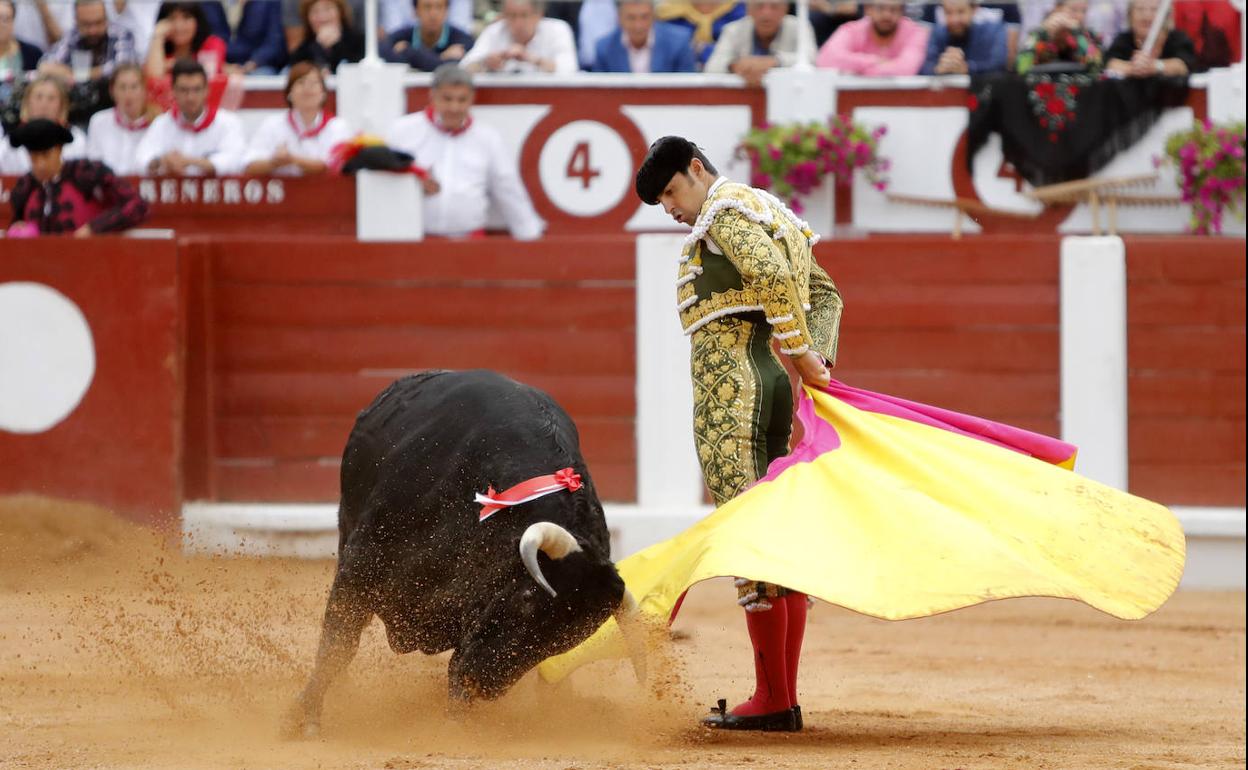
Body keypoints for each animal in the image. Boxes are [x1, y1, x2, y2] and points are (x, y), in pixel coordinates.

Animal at [285, 369, 643, 733]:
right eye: (527, 599)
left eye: (566, 638)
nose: (482, 683)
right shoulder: (363, 562)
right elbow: (339, 642)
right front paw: (304, 718)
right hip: (347, 527)